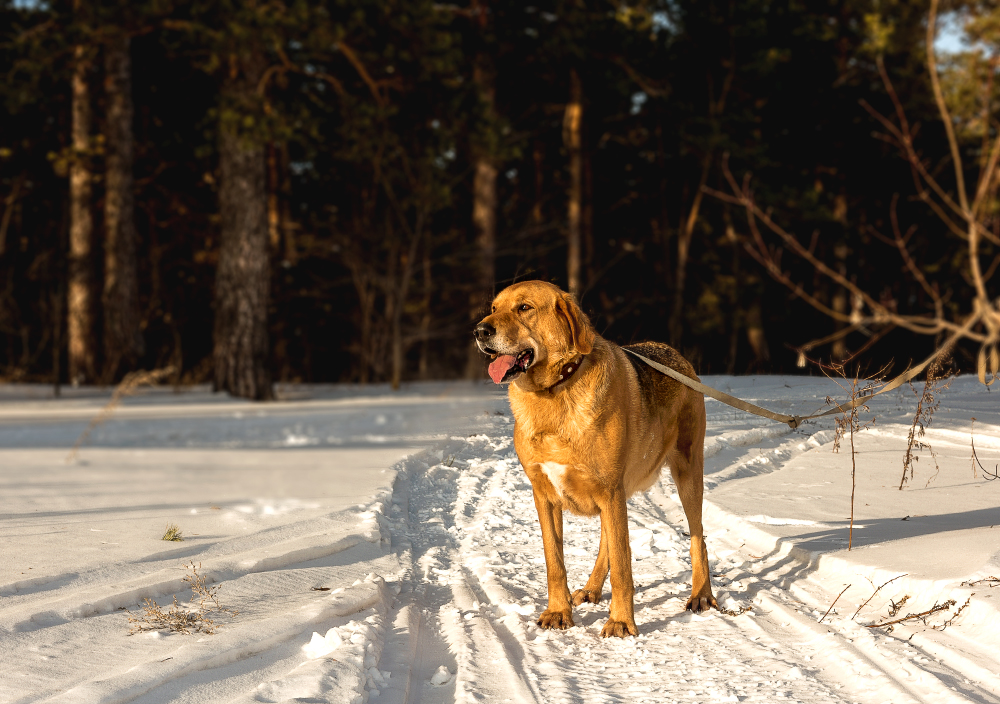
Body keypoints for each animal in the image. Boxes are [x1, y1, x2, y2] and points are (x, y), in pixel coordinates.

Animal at [474, 280, 716, 640]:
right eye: (493, 308)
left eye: (524, 308)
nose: (479, 331)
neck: (554, 393)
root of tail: (673, 353)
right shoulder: (545, 495)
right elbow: (555, 562)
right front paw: (558, 611)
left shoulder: (610, 490)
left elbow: (623, 567)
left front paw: (621, 621)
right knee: (607, 542)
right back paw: (591, 588)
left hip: (686, 473)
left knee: (697, 538)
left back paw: (701, 594)